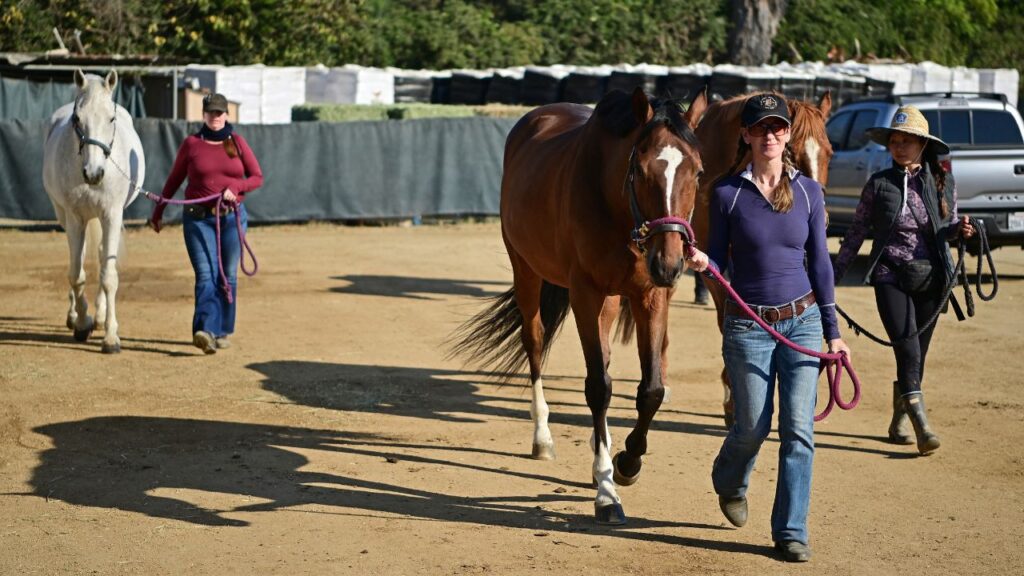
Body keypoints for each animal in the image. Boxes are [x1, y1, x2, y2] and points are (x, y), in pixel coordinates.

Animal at [42, 69, 144, 352]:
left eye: (111, 118)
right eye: (77, 119)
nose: (94, 173)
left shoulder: (111, 215)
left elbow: (108, 275)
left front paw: (110, 336)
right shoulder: (75, 218)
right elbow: (76, 275)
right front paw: (81, 323)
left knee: (100, 257)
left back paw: (99, 315)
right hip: (66, 218)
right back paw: (77, 315)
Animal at [452, 87, 708, 522]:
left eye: (699, 172)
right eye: (640, 171)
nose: (671, 263)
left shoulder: (649, 296)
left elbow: (651, 390)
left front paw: (627, 463)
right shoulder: (584, 292)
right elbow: (598, 387)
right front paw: (607, 490)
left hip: (610, 299)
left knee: (603, 356)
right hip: (526, 271)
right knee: (535, 343)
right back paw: (543, 438)